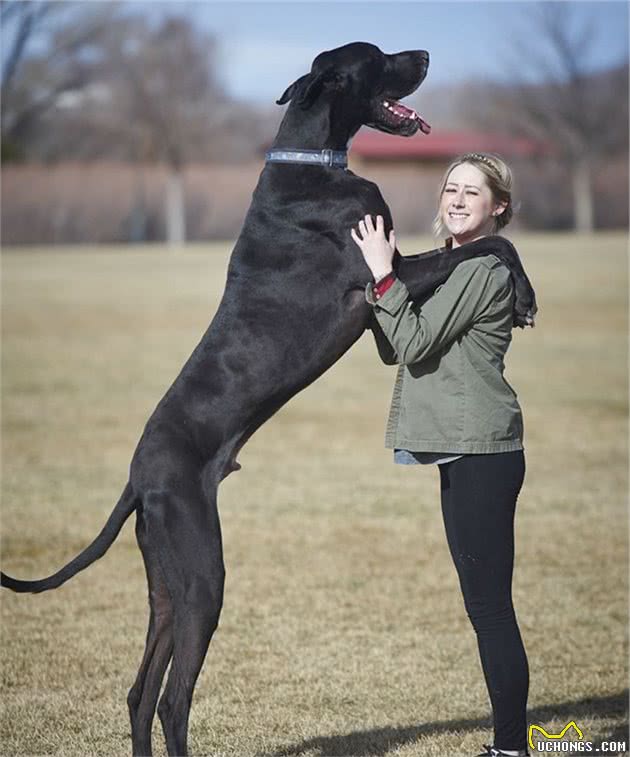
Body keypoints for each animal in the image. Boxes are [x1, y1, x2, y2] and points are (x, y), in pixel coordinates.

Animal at [3, 42, 540, 756]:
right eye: (379, 58)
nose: (424, 53)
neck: (311, 160)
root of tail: (137, 479)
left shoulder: (382, 306)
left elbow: (481, 247)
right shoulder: (381, 276)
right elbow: (493, 242)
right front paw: (525, 293)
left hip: (166, 582)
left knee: (140, 693)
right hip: (204, 574)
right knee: (173, 698)